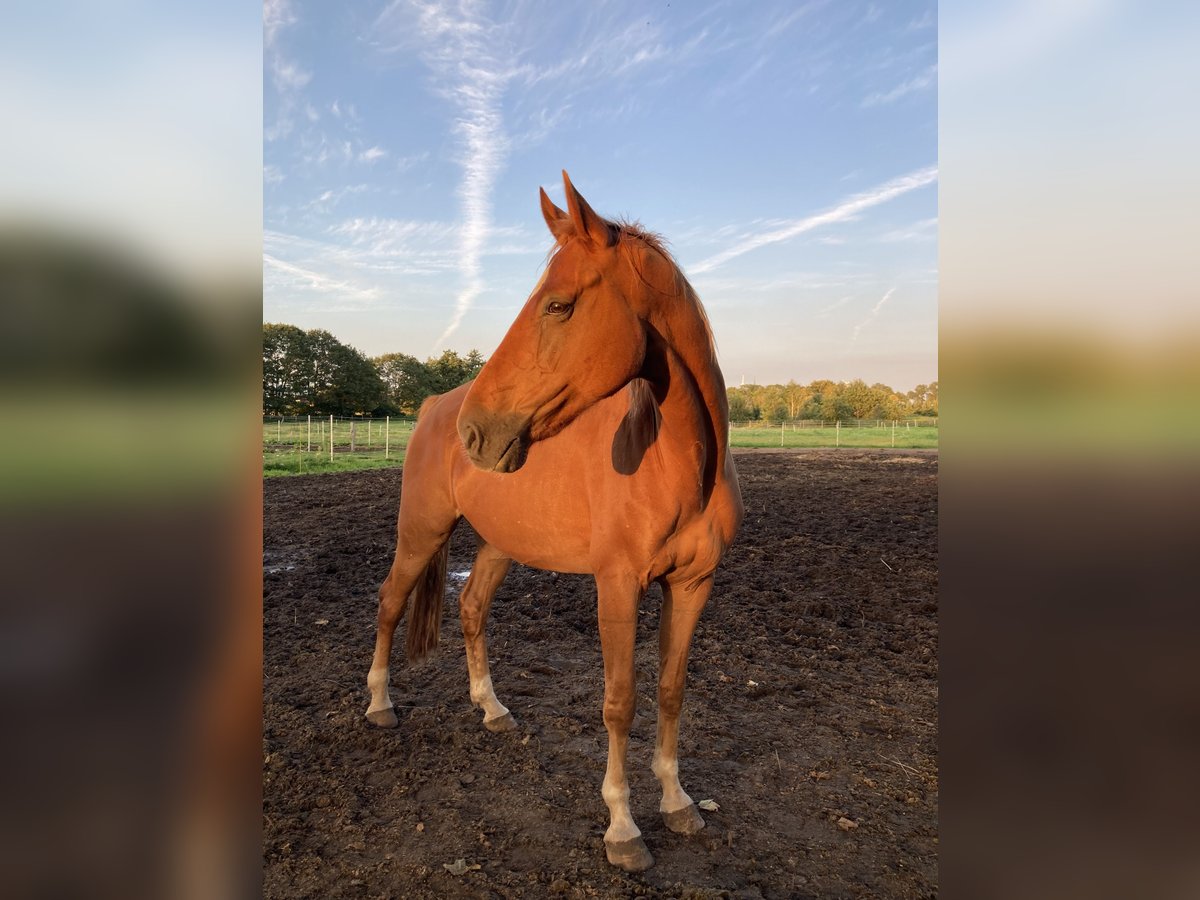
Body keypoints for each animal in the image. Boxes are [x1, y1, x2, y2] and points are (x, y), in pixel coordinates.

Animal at [360, 170, 744, 873]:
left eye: (558, 305)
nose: (477, 433)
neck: (679, 463)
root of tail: (433, 407)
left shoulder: (693, 585)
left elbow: (671, 689)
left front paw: (678, 802)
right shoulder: (616, 586)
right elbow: (619, 701)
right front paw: (623, 827)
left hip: (498, 544)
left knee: (472, 609)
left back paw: (491, 709)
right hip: (421, 533)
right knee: (389, 602)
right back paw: (379, 704)